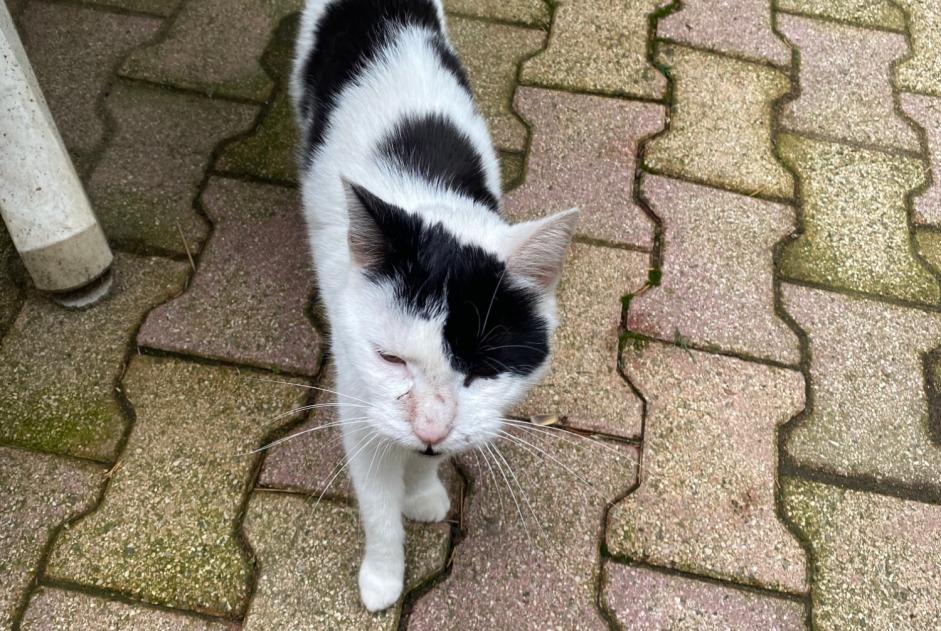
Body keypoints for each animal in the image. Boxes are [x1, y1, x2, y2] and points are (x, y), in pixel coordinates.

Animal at [290, 0, 576, 612]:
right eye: (391, 359)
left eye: (483, 370)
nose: (428, 428)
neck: (431, 197)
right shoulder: (359, 401)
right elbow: (378, 511)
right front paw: (382, 578)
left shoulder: (469, 418)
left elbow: (435, 460)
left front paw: (422, 493)